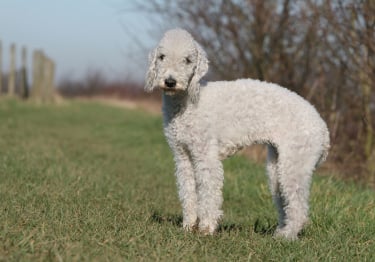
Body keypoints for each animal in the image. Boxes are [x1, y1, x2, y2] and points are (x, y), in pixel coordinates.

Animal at [145, 28, 330, 239]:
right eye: (162, 56)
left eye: (188, 60)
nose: (170, 82)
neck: (188, 101)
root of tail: (323, 128)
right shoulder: (183, 155)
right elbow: (188, 191)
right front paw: (188, 226)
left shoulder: (206, 155)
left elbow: (209, 192)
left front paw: (206, 228)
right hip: (277, 165)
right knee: (285, 201)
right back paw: (281, 231)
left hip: (296, 164)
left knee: (299, 207)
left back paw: (286, 237)